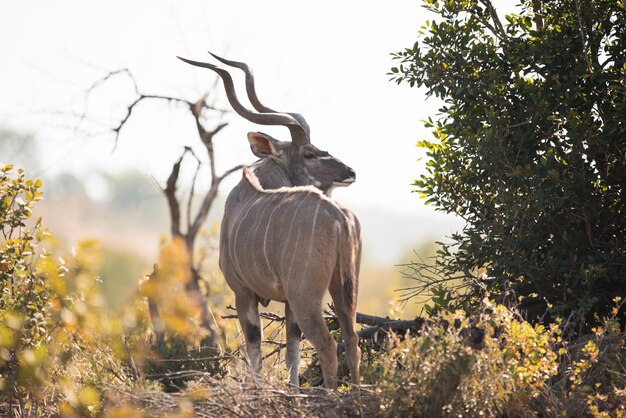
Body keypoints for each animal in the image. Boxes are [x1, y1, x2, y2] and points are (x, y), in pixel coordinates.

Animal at [177, 53, 360, 388]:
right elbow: (291, 352)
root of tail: (339, 218)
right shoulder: (282, 301)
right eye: (310, 154)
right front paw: (293, 392)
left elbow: (255, 352)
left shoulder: (243, 293)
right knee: (351, 340)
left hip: (306, 295)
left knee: (328, 344)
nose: (350, 172)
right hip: (343, 289)